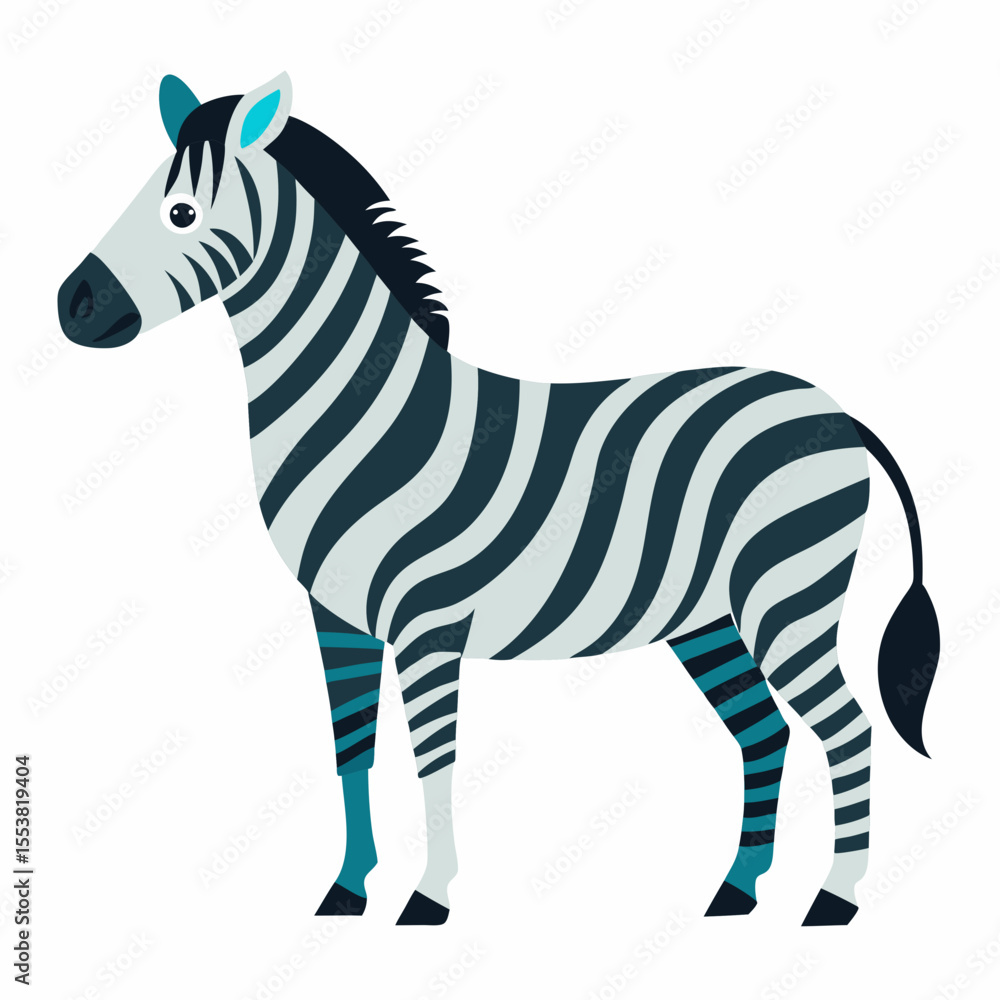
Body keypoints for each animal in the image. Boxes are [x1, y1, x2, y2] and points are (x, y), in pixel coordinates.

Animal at [57, 73, 940, 927]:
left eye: (180, 212)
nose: (72, 304)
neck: (370, 413)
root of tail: (836, 412)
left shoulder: (428, 624)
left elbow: (433, 756)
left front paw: (428, 898)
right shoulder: (336, 614)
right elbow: (353, 748)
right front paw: (347, 891)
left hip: (787, 595)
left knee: (846, 729)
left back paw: (833, 900)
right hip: (708, 617)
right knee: (765, 733)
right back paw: (737, 891)